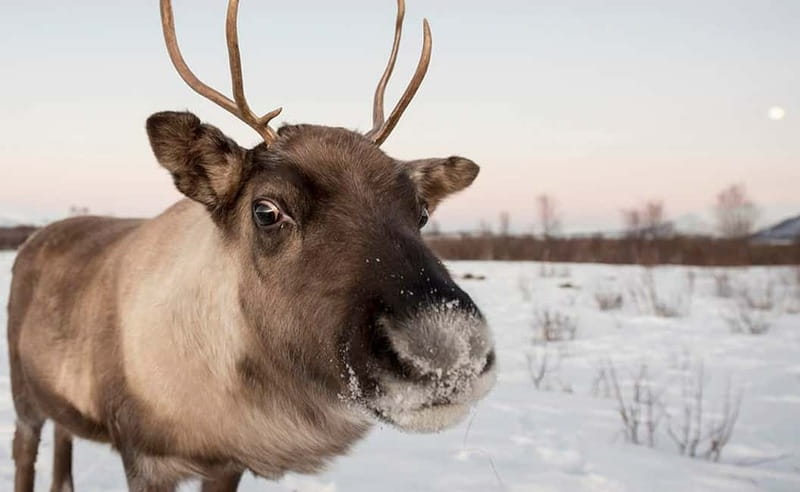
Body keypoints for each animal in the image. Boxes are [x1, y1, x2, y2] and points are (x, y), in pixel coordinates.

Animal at [6, 0, 496, 490]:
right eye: (266, 211)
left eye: (422, 212)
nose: (447, 350)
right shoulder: (143, 457)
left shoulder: (228, 462)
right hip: (23, 394)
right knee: (25, 454)